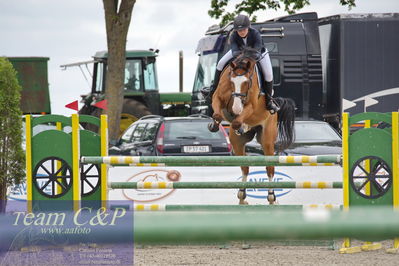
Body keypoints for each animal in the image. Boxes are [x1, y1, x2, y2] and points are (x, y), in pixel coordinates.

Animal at [208, 47, 296, 205]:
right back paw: (242, 197)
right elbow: (217, 114)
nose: (236, 109)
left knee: (269, 168)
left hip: (267, 140)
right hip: (237, 143)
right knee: (245, 167)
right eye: (231, 81)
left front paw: (239, 123)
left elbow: (237, 120)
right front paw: (214, 125)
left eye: (247, 82)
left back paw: (272, 198)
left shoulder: (251, 106)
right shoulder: (217, 97)